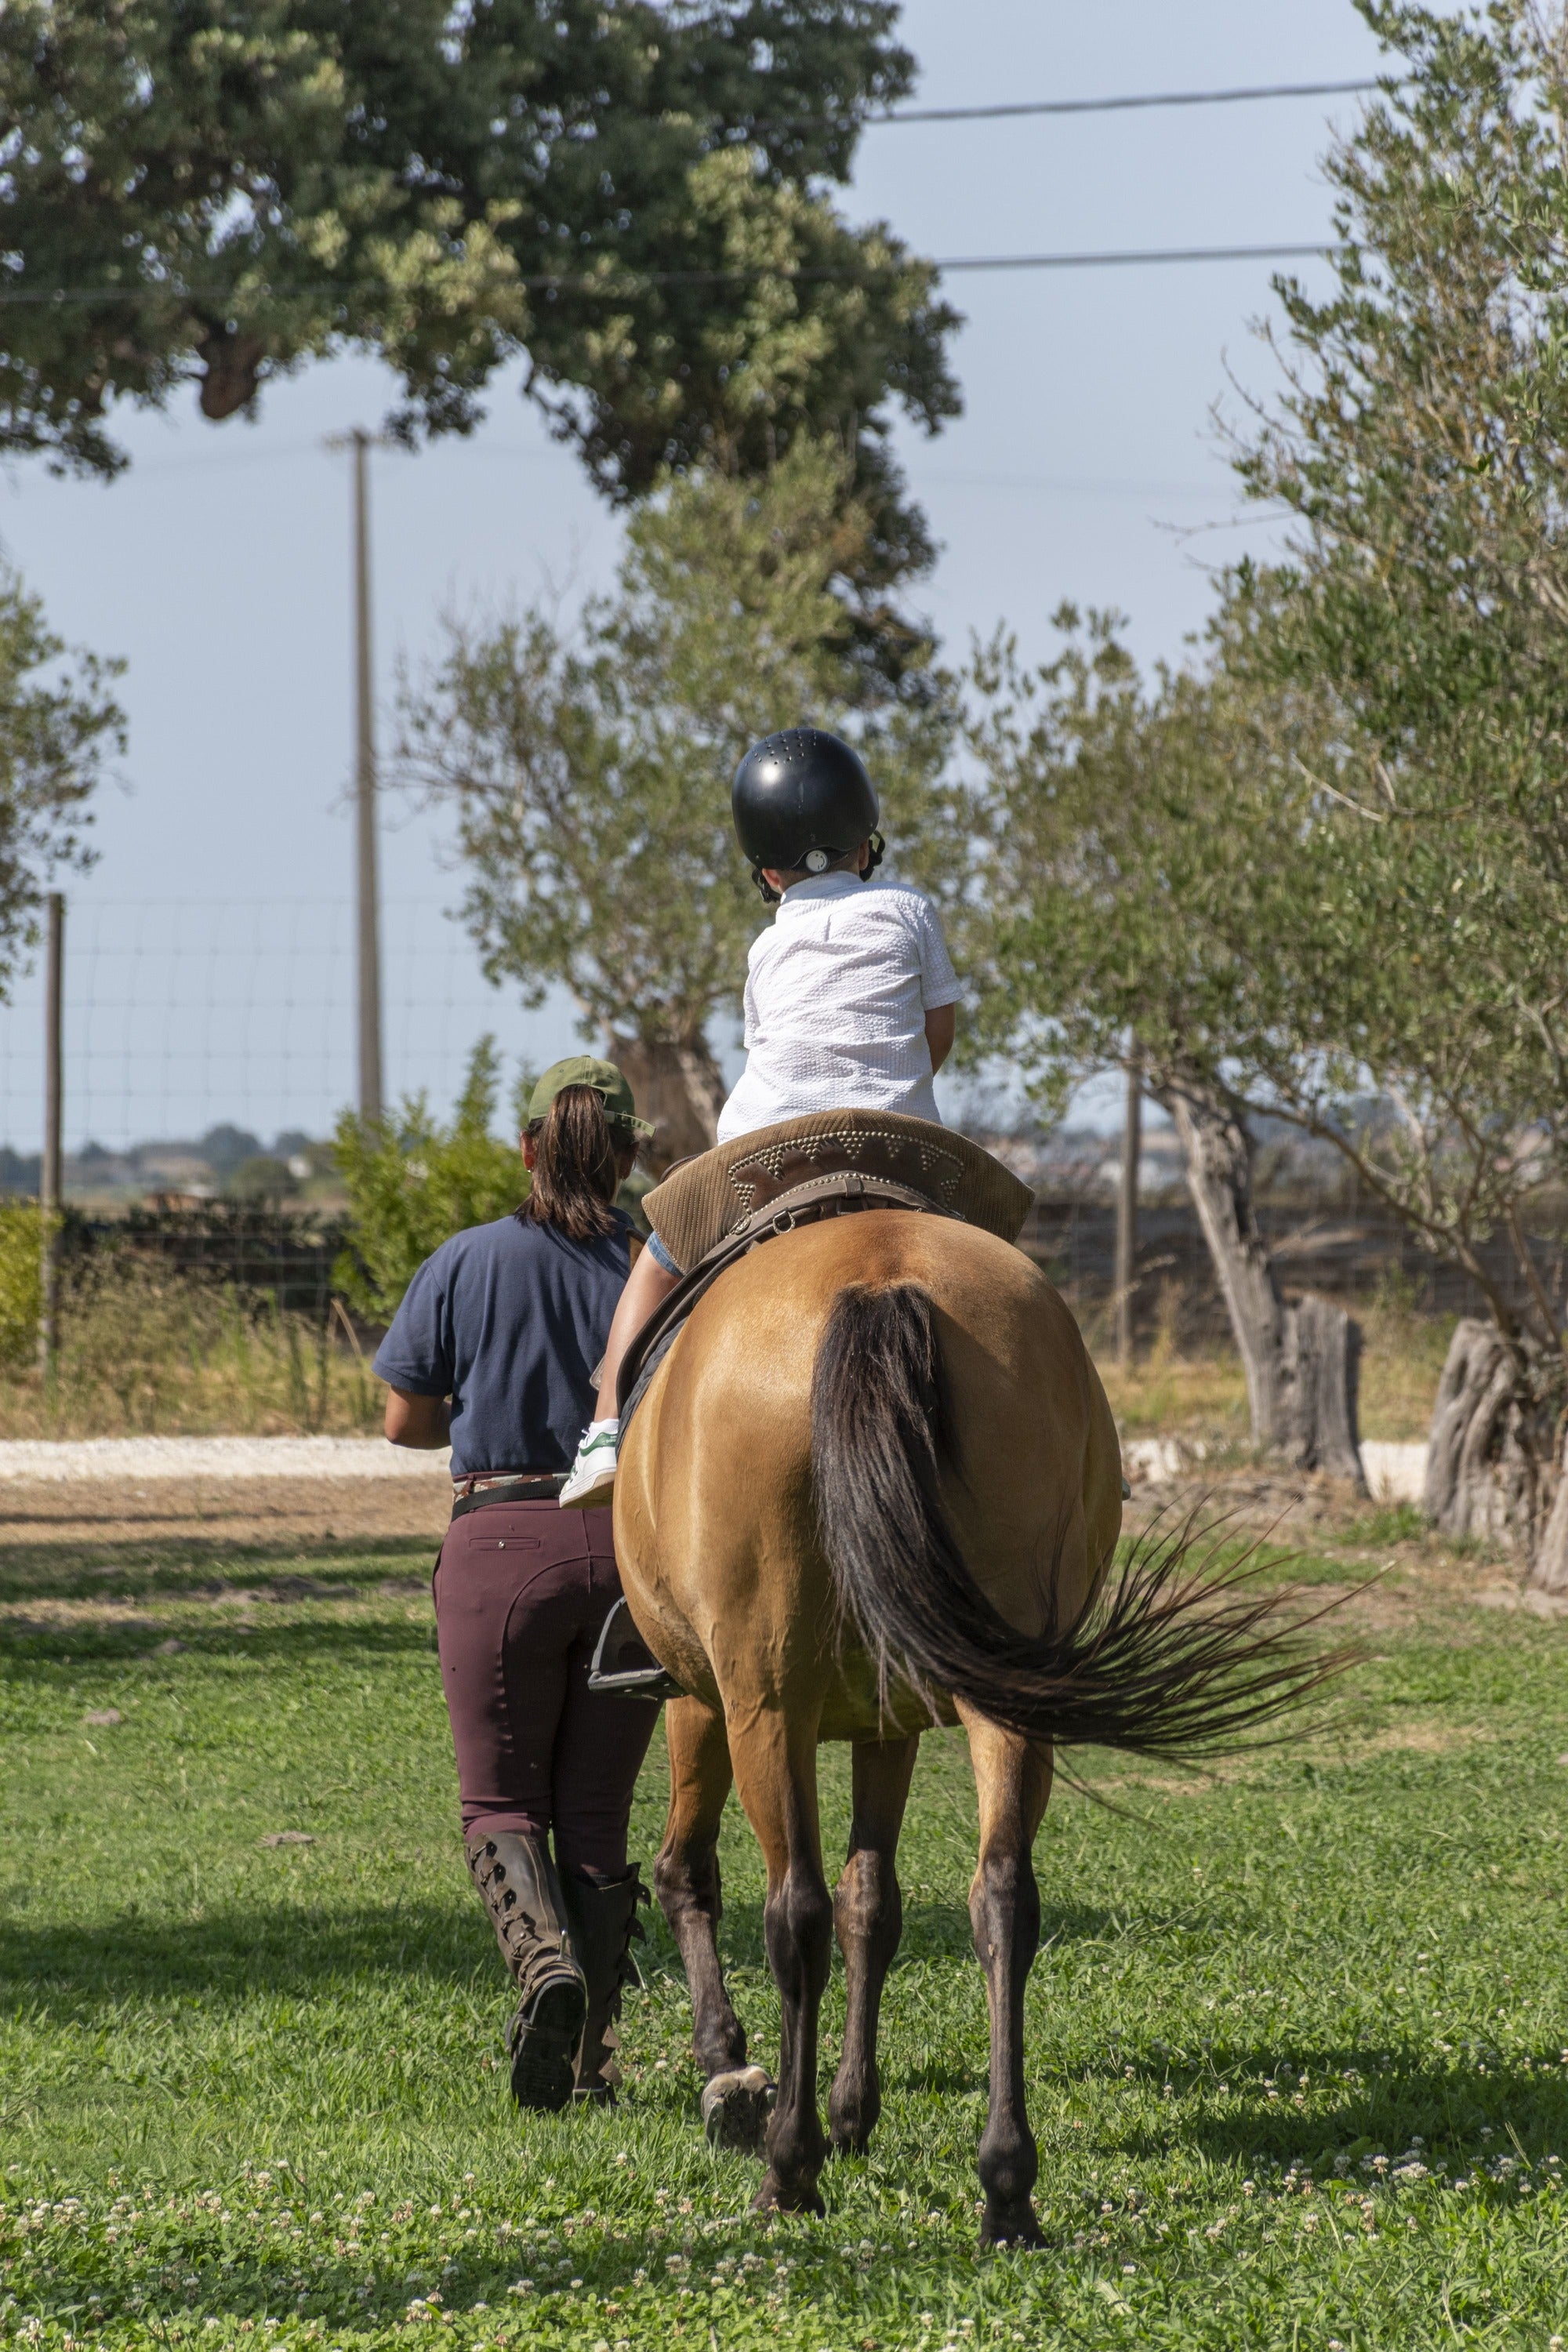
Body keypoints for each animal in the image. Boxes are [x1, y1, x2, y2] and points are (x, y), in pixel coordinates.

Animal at [613, 1207, 1334, 2246]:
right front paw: (850, 2110)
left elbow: (695, 1874)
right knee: (999, 1898)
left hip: (763, 1696)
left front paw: (732, 2074)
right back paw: (1005, 2185)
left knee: (792, 1913)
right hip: (1005, 1690)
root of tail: (876, 1281)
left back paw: (789, 2170)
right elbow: (874, 1903)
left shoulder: (701, 1695)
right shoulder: (887, 1721)